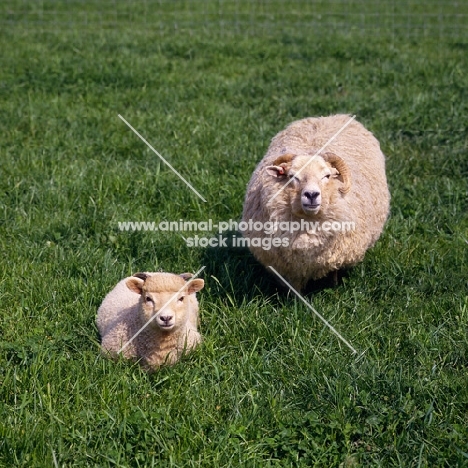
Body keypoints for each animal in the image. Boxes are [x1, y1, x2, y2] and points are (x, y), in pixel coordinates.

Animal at [241, 114, 392, 290]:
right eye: (292, 176)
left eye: (327, 176)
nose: (311, 194)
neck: (308, 225)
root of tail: (331, 116)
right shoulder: (289, 267)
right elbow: (294, 286)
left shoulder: (336, 253)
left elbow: (333, 270)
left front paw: (333, 287)